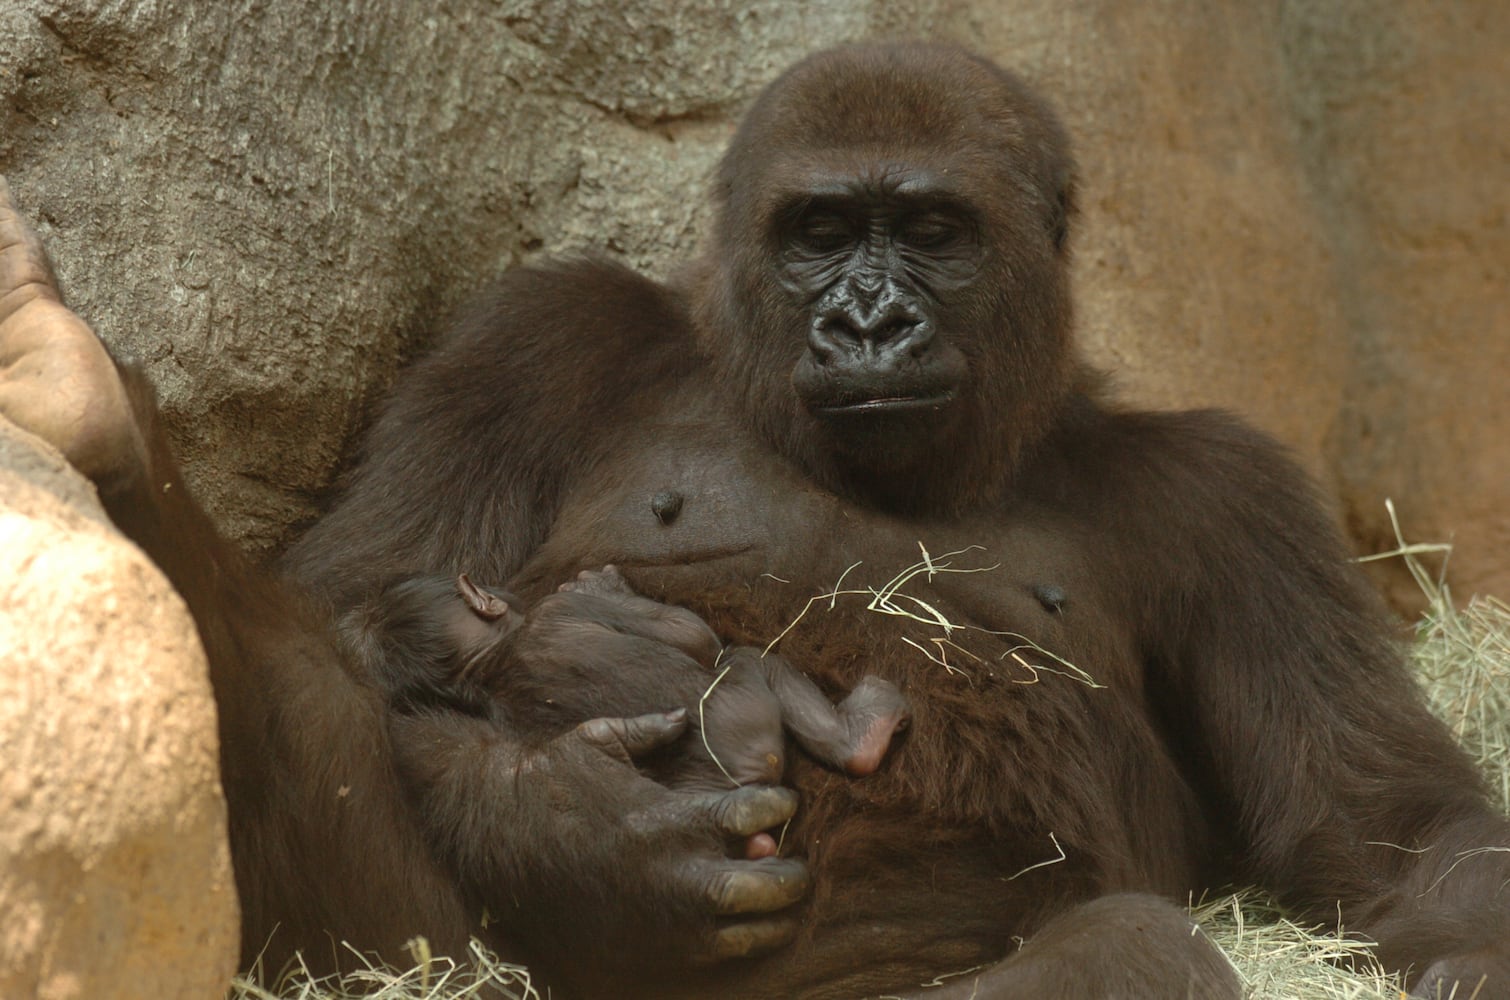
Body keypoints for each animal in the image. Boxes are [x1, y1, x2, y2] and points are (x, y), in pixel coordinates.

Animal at [339, 567, 906, 797]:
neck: (489, 662)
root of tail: (737, 781)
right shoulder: (560, 610)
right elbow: (692, 634)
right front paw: (602, 584)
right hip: (750, 710)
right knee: (750, 660)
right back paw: (865, 731)